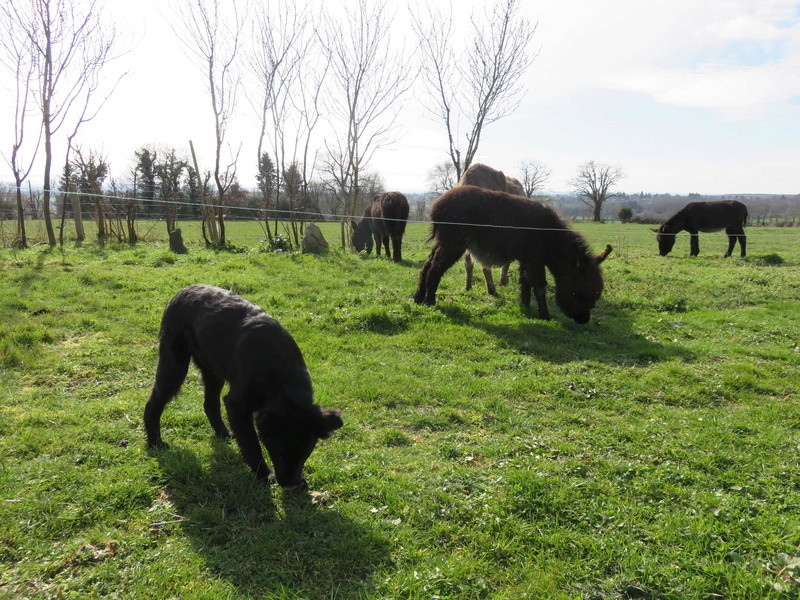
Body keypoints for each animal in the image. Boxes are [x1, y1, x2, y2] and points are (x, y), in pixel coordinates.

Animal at [144, 284, 344, 488]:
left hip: (213, 371)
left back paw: (223, 433)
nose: (290, 484)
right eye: (280, 453)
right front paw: (264, 475)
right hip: (174, 366)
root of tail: (183, 291)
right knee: (154, 402)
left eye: (304, 453)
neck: (281, 376)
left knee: (210, 404)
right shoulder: (237, 404)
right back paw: (155, 442)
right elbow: (251, 444)